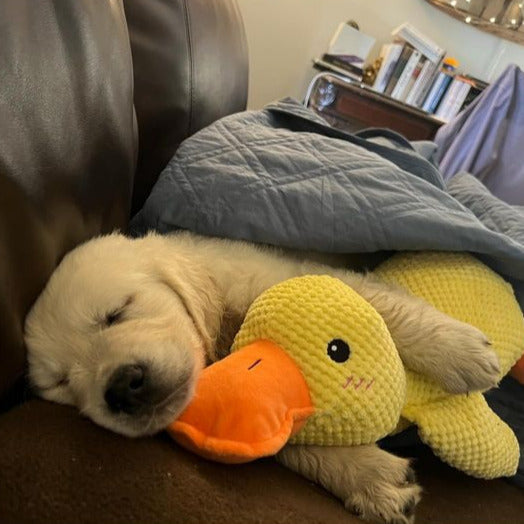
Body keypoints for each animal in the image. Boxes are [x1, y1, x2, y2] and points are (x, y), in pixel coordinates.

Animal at [23, 233, 500, 524]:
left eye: (117, 313)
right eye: (63, 384)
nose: (122, 387)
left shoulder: (295, 277)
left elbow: (383, 307)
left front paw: (460, 351)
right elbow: (287, 441)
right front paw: (371, 478)